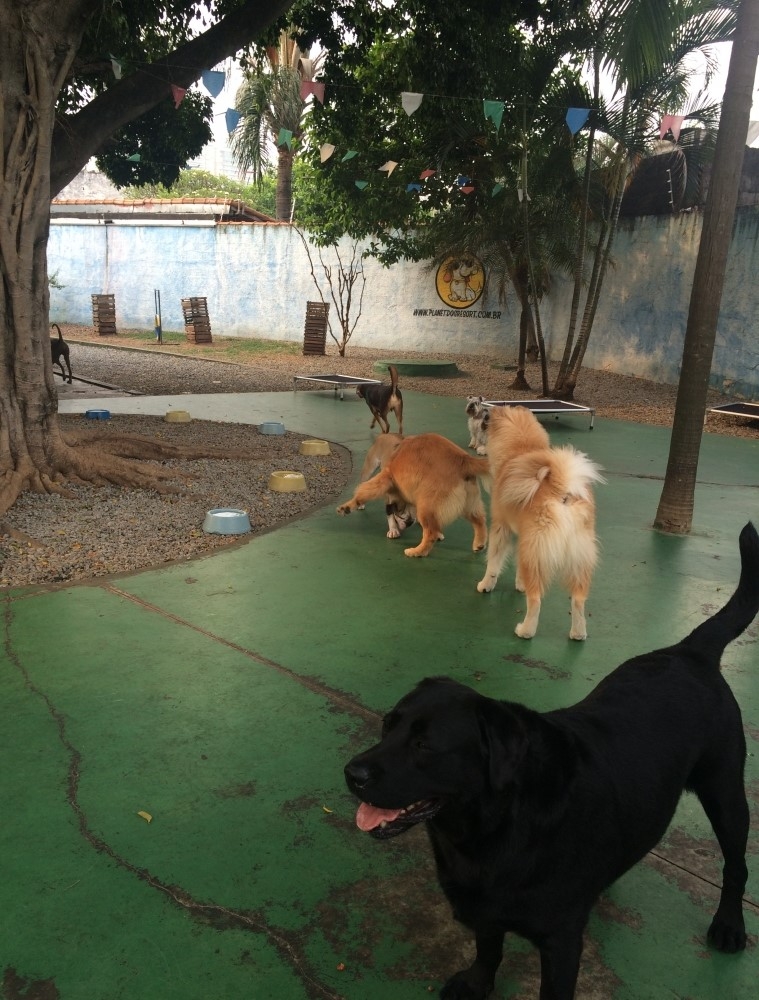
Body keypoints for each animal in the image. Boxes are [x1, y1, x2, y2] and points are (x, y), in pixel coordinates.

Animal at [336, 430, 490, 556]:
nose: (409, 522)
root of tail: (464, 459)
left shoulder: (386, 478)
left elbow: (365, 492)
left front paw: (347, 507)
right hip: (468, 504)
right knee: (480, 521)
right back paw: (479, 544)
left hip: (426, 505)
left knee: (430, 533)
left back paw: (417, 552)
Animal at [346, 524, 759, 1000]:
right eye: (387, 726)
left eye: (424, 746)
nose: (351, 774)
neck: (491, 829)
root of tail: (689, 651)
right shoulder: (486, 910)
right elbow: (488, 947)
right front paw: (478, 982)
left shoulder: (561, 942)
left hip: (726, 792)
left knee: (736, 864)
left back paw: (729, 923)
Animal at [480, 406, 604, 640]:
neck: (520, 448)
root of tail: (561, 488)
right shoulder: (522, 538)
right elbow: (519, 568)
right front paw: (520, 584)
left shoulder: (501, 528)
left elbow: (493, 562)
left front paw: (486, 585)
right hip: (576, 559)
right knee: (578, 600)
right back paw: (578, 633)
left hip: (537, 553)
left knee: (536, 600)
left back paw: (525, 630)